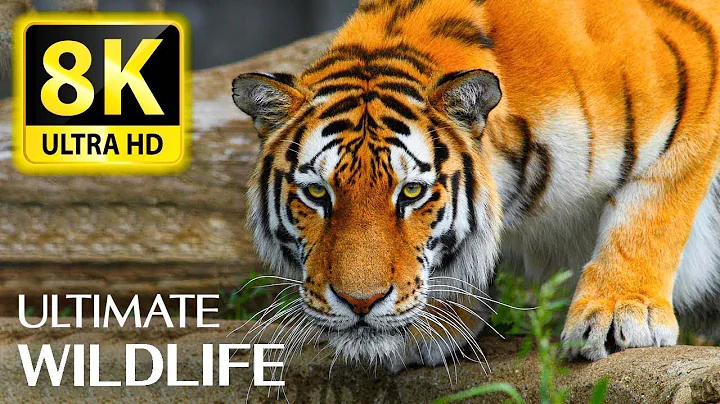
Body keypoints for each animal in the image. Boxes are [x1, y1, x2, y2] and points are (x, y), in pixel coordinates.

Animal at [231, 0, 720, 370]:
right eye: (317, 193)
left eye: (411, 192)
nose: (360, 303)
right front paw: (435, 326)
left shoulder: (695, 89)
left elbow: (650, 212)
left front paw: (621, 314)